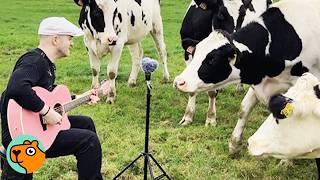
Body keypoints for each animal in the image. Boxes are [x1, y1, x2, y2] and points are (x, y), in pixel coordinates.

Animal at [174, 0, 320, 155]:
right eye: (195, 52)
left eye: (212, 59)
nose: (179, 82)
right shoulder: (258, 78)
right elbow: (244, 109)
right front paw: (234, 144)